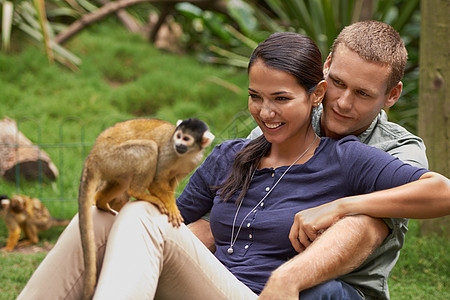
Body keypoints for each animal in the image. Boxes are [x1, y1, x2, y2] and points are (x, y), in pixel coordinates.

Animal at [78, 118, 214, 300]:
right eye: (178, 136)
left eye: (186, 139)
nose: (178, 144)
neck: (183, 155)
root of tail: (93, 155)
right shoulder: (168, 152)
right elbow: (157, 180)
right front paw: (172, 207)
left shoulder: (194, 161)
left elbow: (171, 183)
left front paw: (171, 204)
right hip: (113, 157)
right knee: (150, 148)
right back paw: (139, 193)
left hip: (112, 163)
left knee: (122, 181)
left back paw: (101, 202)